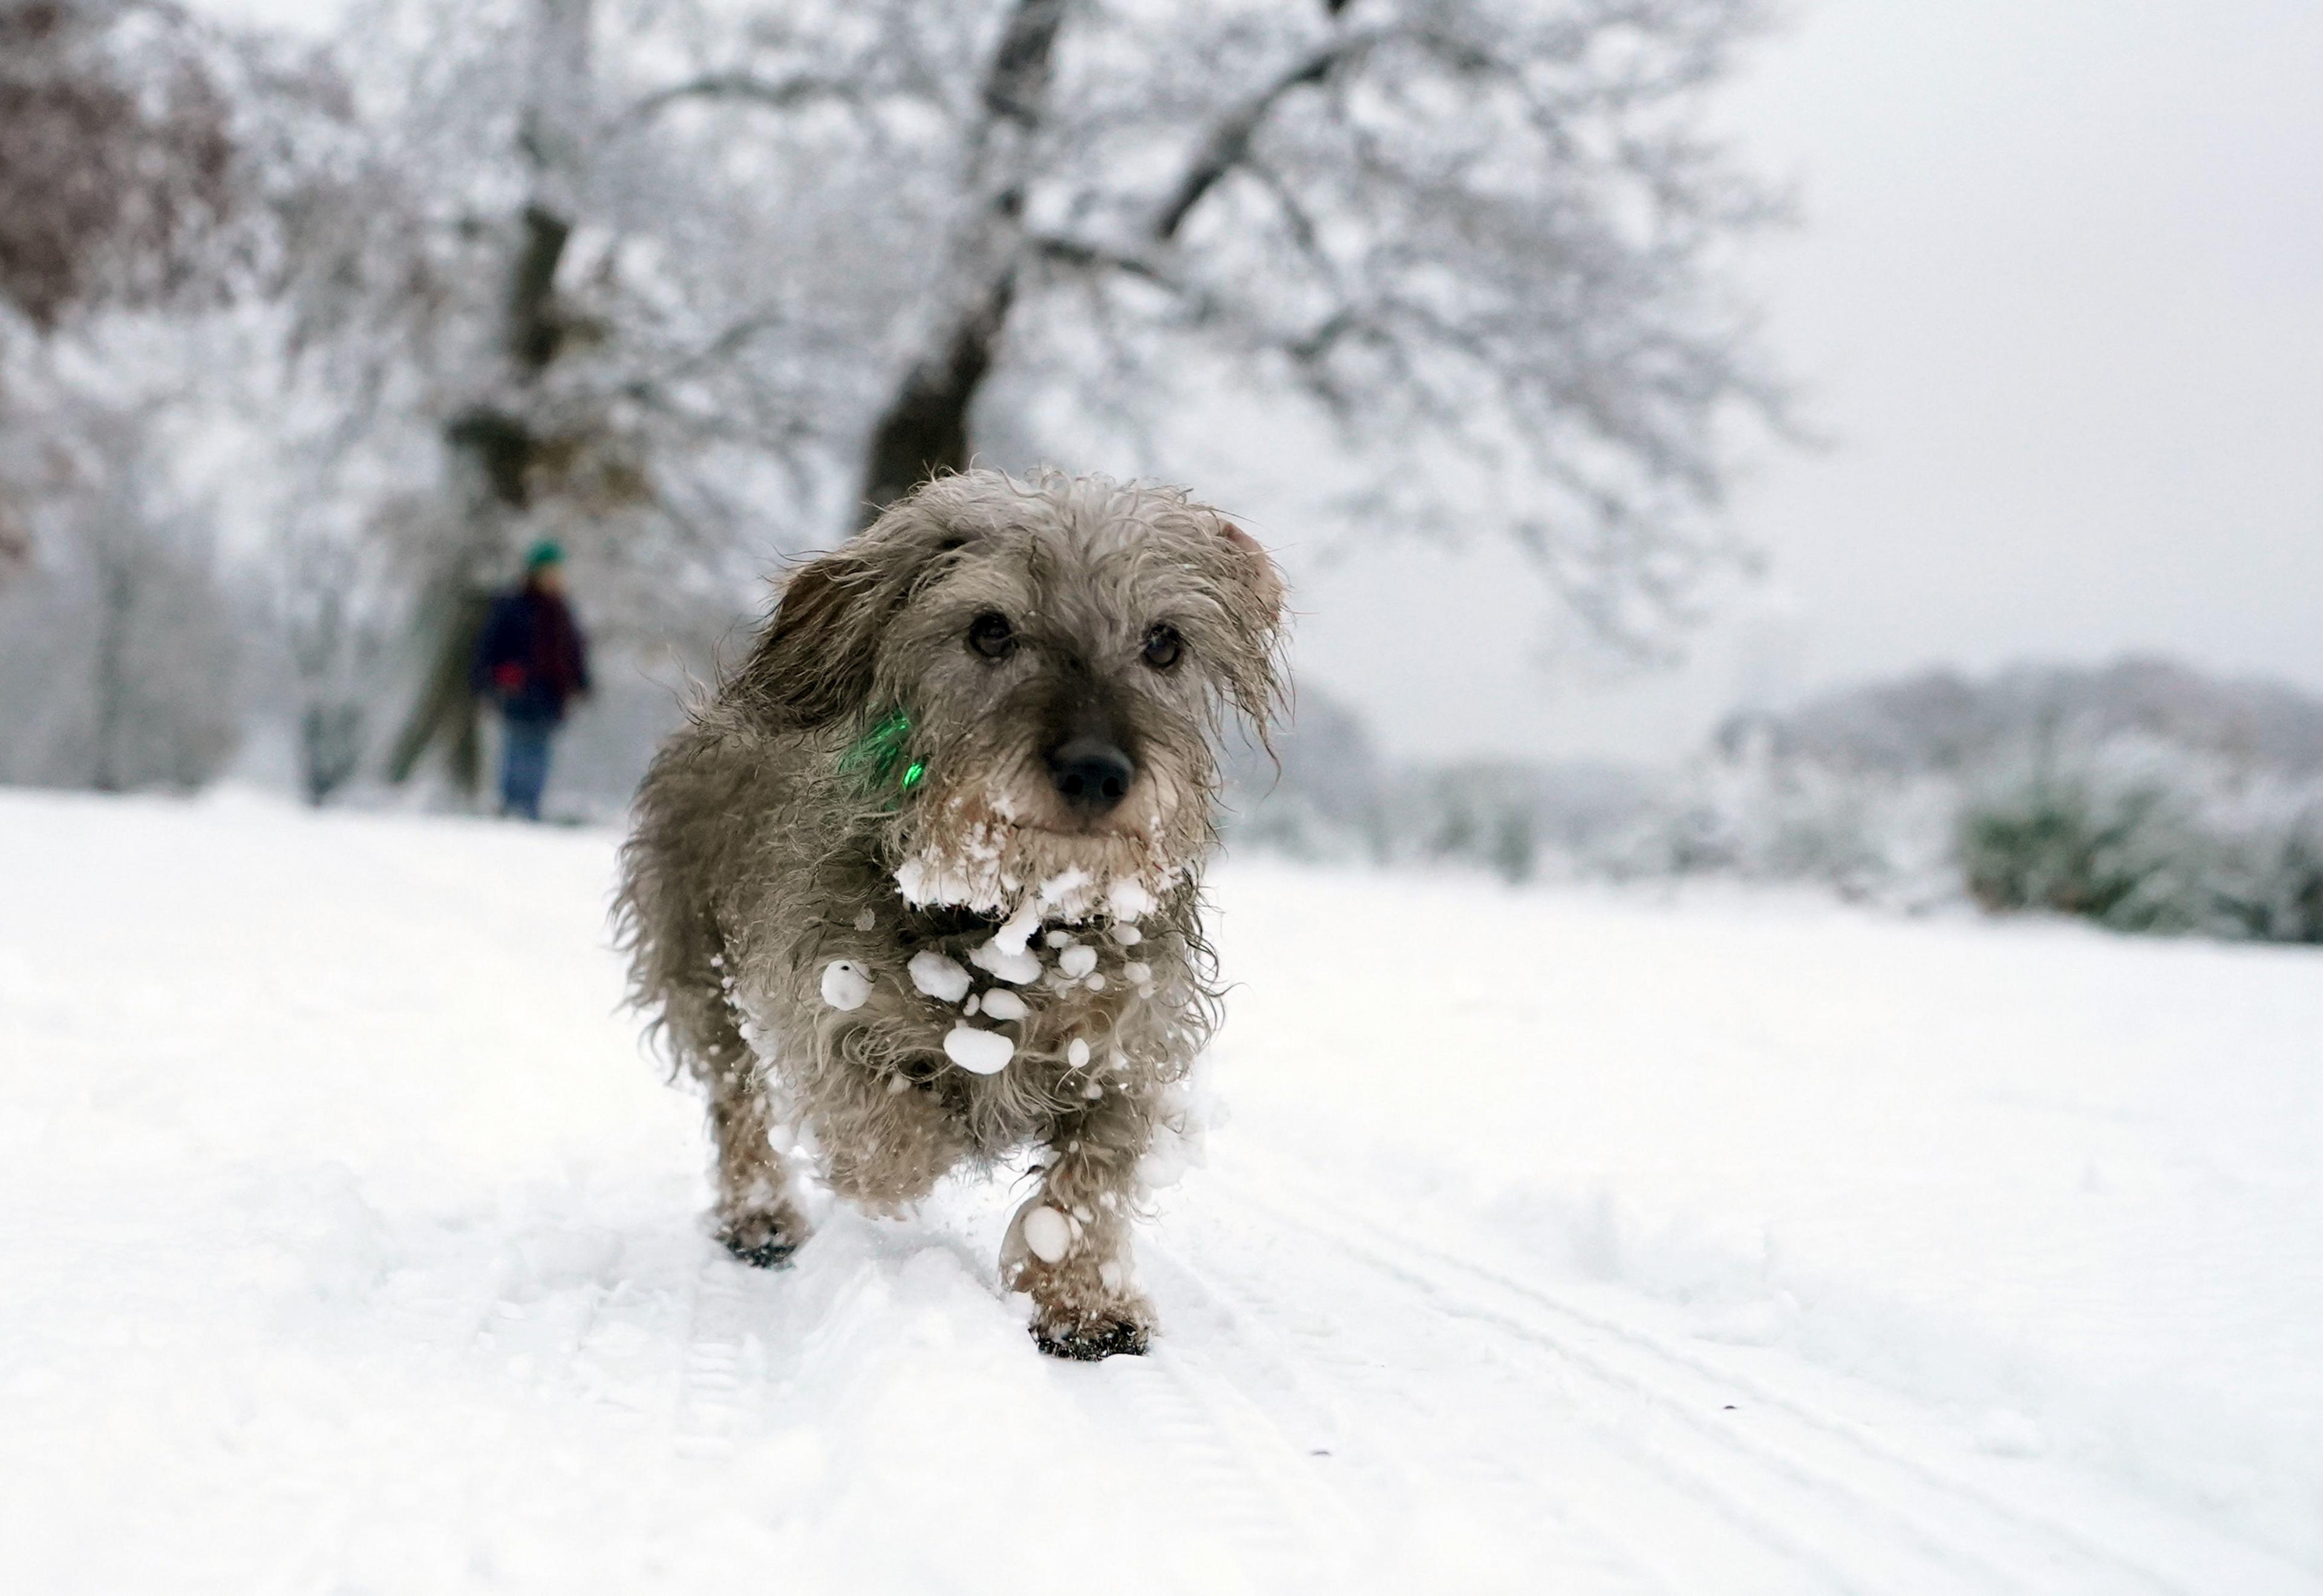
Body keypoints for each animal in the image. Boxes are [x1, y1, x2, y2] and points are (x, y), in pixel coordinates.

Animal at [618, 464, 1292, 1356]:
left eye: (1164, 642)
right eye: (991, 630)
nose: (1097, 772)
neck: (1015, 916)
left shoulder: (1130, 1046)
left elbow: (1094, 1172)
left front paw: (1083, 1299)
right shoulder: (827, 1012)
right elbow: (887, 1133)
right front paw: (913, 1157)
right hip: (700, 972)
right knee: (739, 1102)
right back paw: (759, 1213)